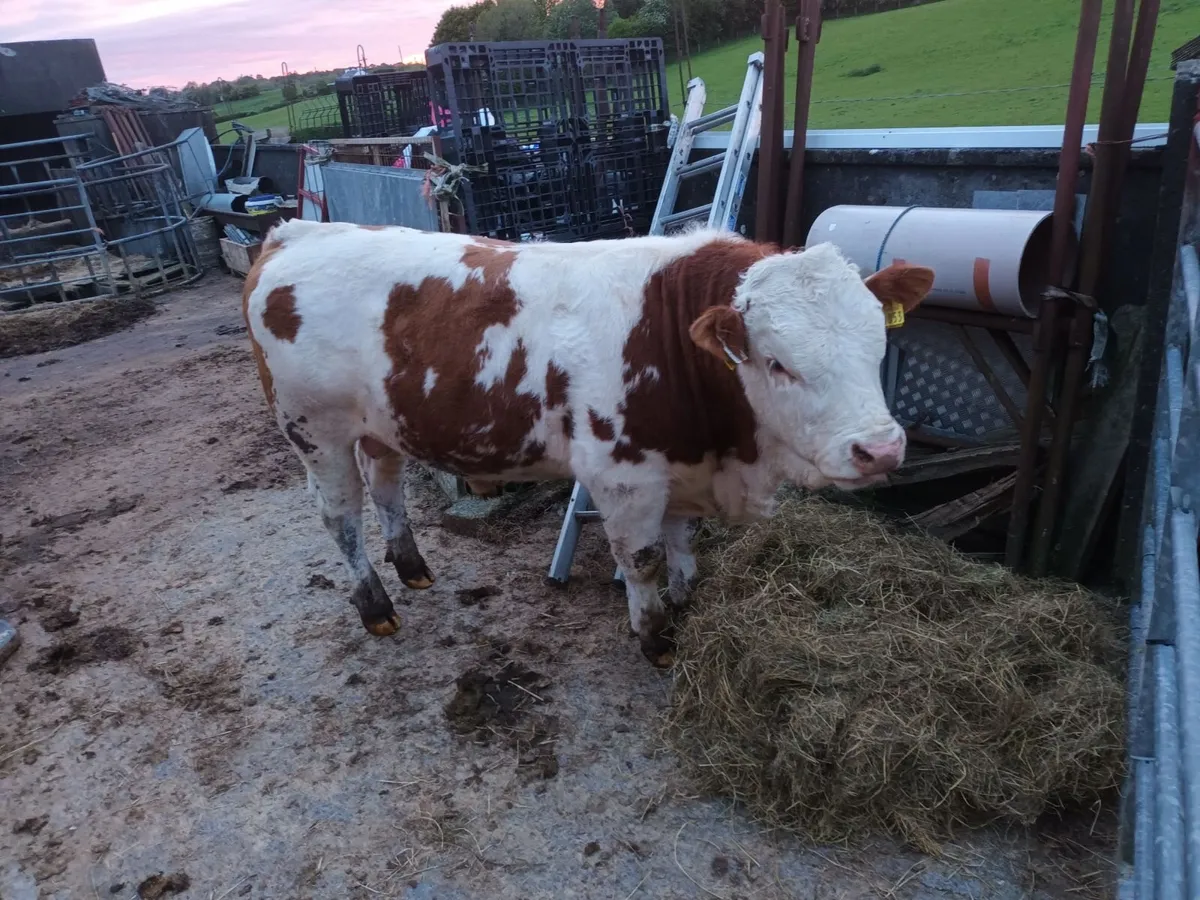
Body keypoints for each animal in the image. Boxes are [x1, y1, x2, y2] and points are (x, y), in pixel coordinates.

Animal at [242, 220, 934, 667]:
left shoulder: (677, 466)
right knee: (340, 517)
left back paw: (411, 568)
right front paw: (656, 639)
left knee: (386, 489)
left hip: (381, 426)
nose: (881, 449)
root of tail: (298, 232)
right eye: (777, 362)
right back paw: (375, 606)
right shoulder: (624, 476)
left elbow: (683, 546)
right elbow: (643, 559)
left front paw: (685, 602)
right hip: (314, 431)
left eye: (879, 341)